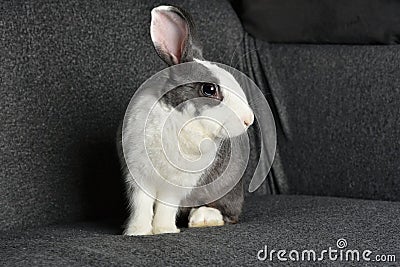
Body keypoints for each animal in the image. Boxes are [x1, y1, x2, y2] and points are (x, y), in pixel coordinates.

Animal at [119, 4, 255, 237]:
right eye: (209, 89)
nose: (249, 120)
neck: (180, 118)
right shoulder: (138, 176)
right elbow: (141, 205)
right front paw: (137, 232)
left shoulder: (177, 184)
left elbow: (166, 206)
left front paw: (164, 230)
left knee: (229, 215)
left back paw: (204, 218)